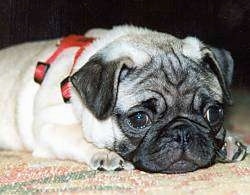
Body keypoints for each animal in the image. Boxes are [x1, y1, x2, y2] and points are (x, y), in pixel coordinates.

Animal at [0, 25, 247, 173]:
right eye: (139, 119)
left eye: (213, 113)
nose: (182, 132)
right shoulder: (48, 128)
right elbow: (75, 135)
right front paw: (104, 153)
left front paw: (227, 142)